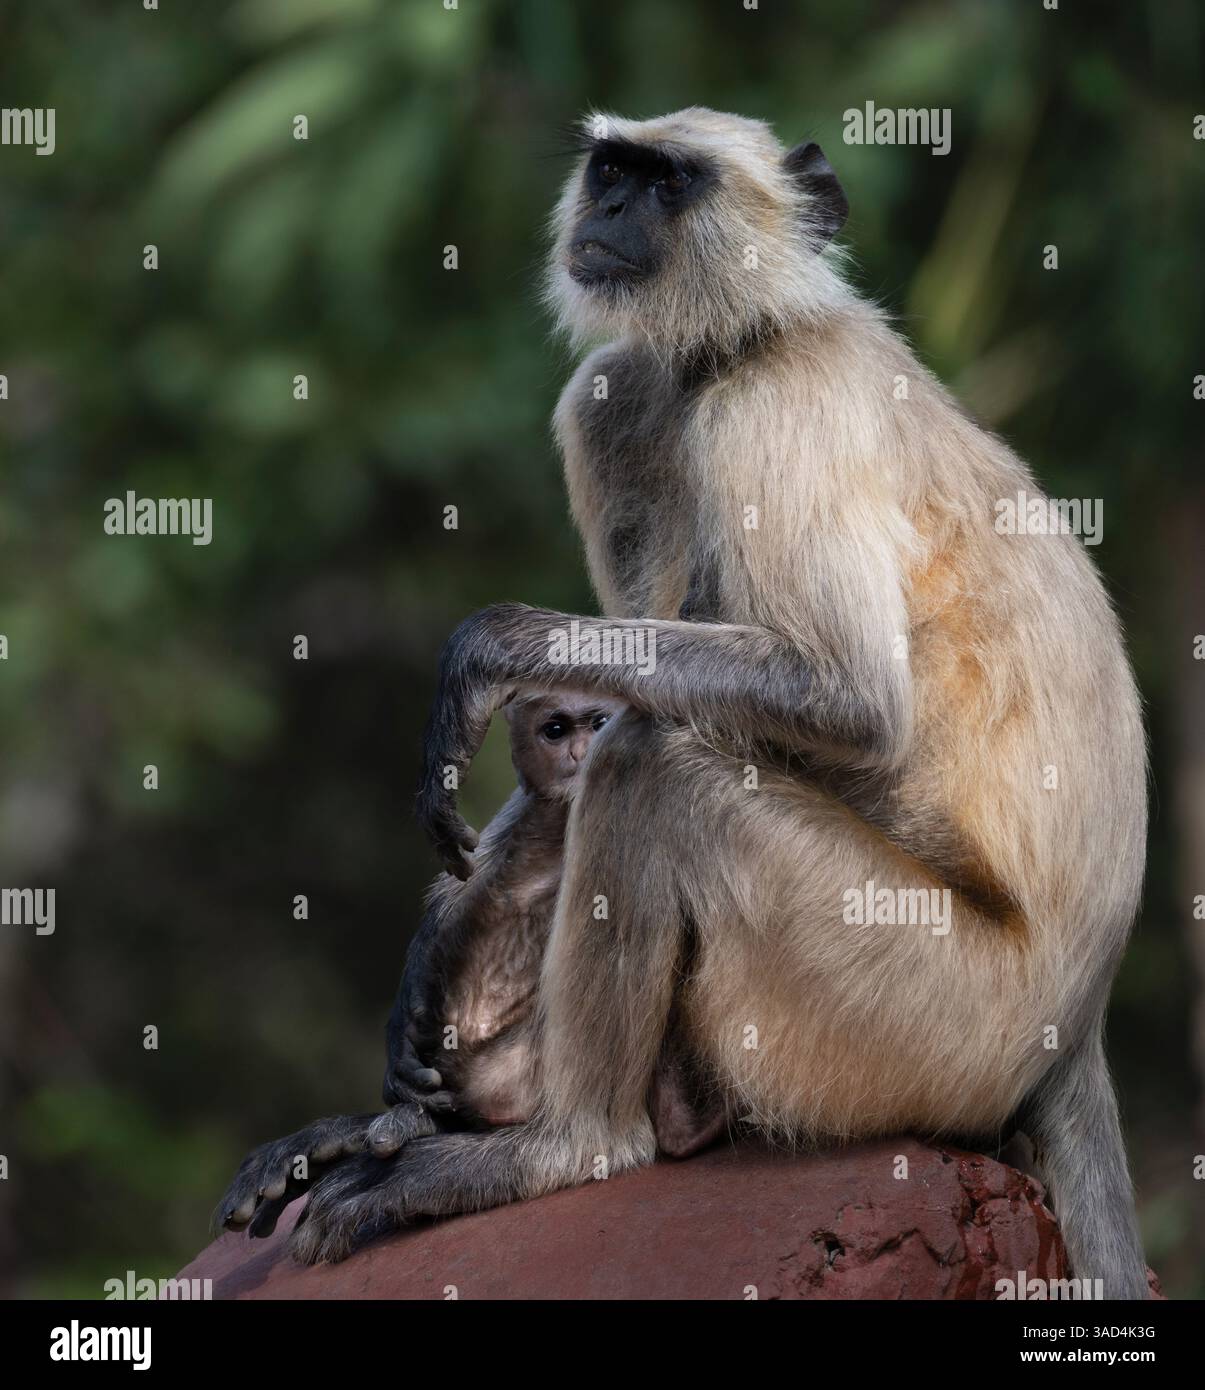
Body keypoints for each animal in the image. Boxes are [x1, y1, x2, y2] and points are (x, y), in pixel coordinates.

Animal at [218, 108, 1148, 1297]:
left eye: (668, 186)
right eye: (612, 170)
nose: (611, 209)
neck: (743, 340)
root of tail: (1076, 1026)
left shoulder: (775, 408)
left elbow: (842, 699)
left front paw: (493, 642)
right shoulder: (622, 401)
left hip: (929, 1015)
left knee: (656, 763)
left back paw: (564, 1144)